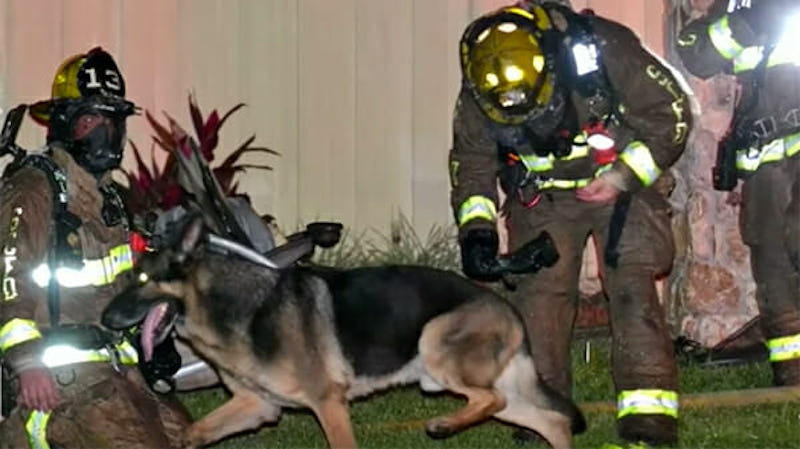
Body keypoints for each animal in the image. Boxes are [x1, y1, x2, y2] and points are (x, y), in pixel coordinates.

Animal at [103, 216, 584, 444]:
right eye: (128, 276)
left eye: (142, 279)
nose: (103, 320)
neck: (236, 307)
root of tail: (509, 307)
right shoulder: (258, 406)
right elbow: (192, 434)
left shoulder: (328, 403)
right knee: (552, 421)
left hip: (436, 346)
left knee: (493, 399)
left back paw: (444, 425)